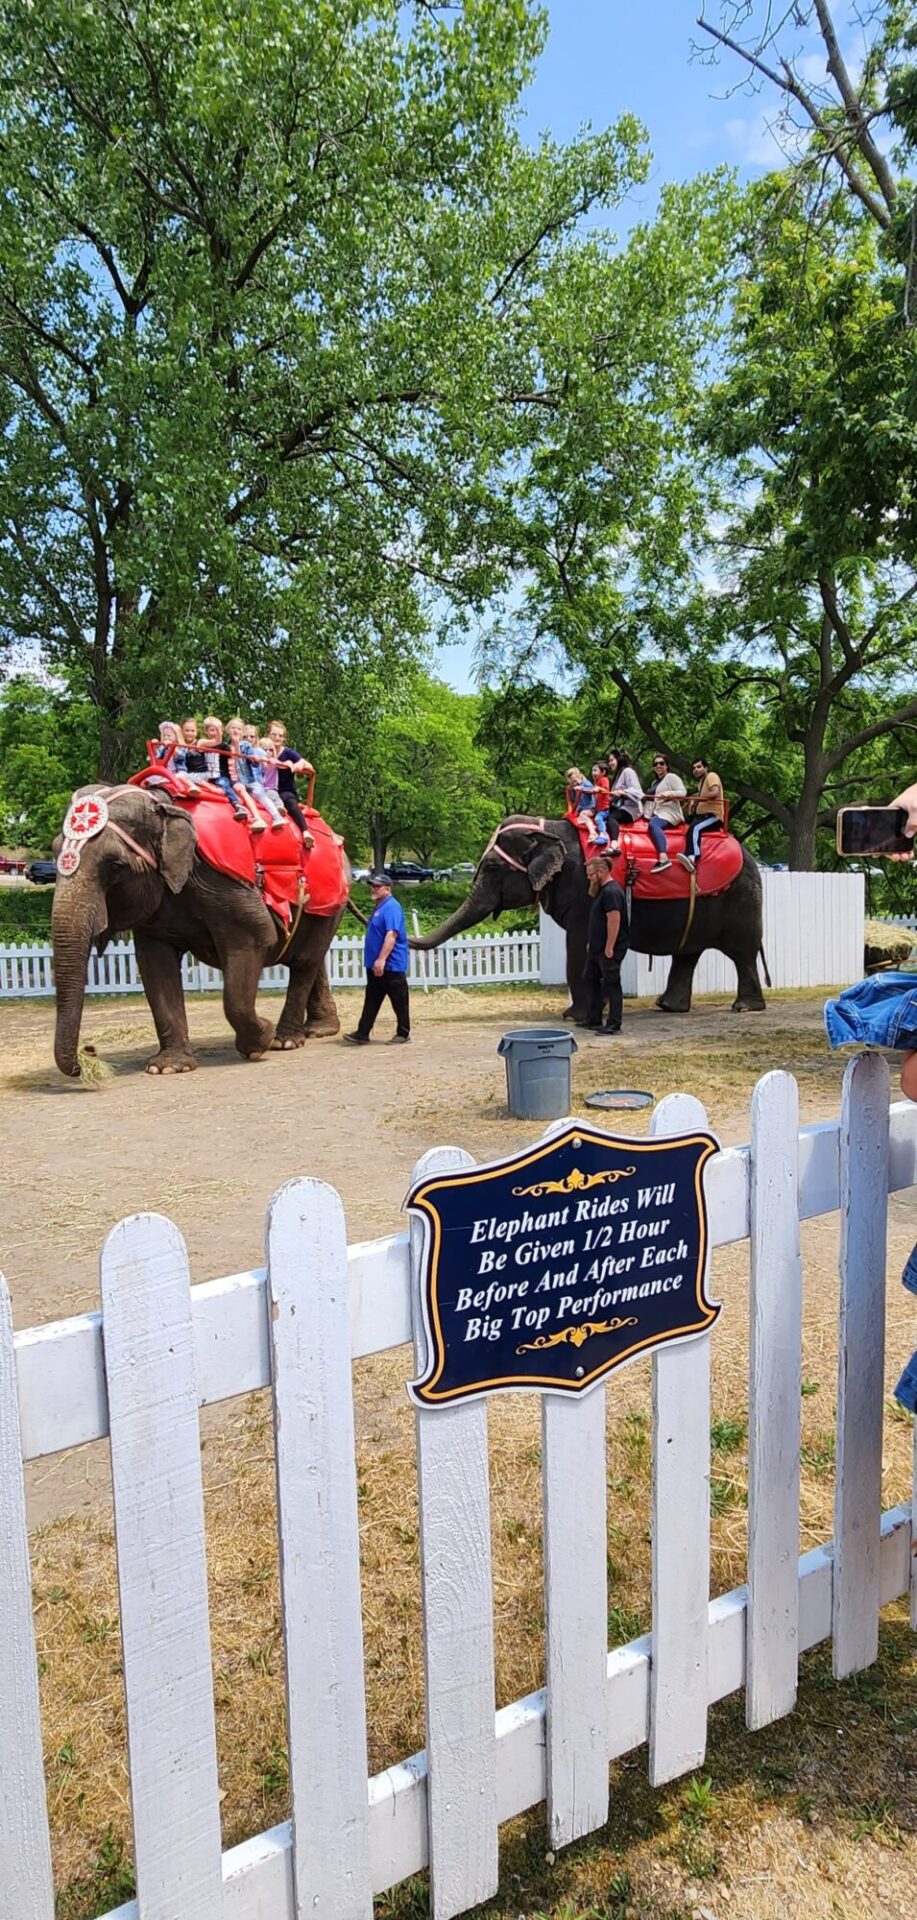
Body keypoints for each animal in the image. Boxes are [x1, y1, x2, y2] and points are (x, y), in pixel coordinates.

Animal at [52, 783, 349, 1082]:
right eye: (54, 854)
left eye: (115, 865)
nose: (88, 1052)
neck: (163, 804)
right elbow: (155, 964)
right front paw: (168, 1067)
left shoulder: (225, 883)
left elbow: (255, 939)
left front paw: (260, 1040)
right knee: (312, 959)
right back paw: (319, 1030)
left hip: (329, 902)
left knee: (305, 961)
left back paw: (285, 1040)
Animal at [412, 814, 771, 1021]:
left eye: (492, 867)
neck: (550, 832)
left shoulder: (582, 890)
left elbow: (579, 943)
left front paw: (573, 1017)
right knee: (687, 954)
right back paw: (667, 1006)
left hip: (742, 899)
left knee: (742, 952)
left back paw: (744, 1008)